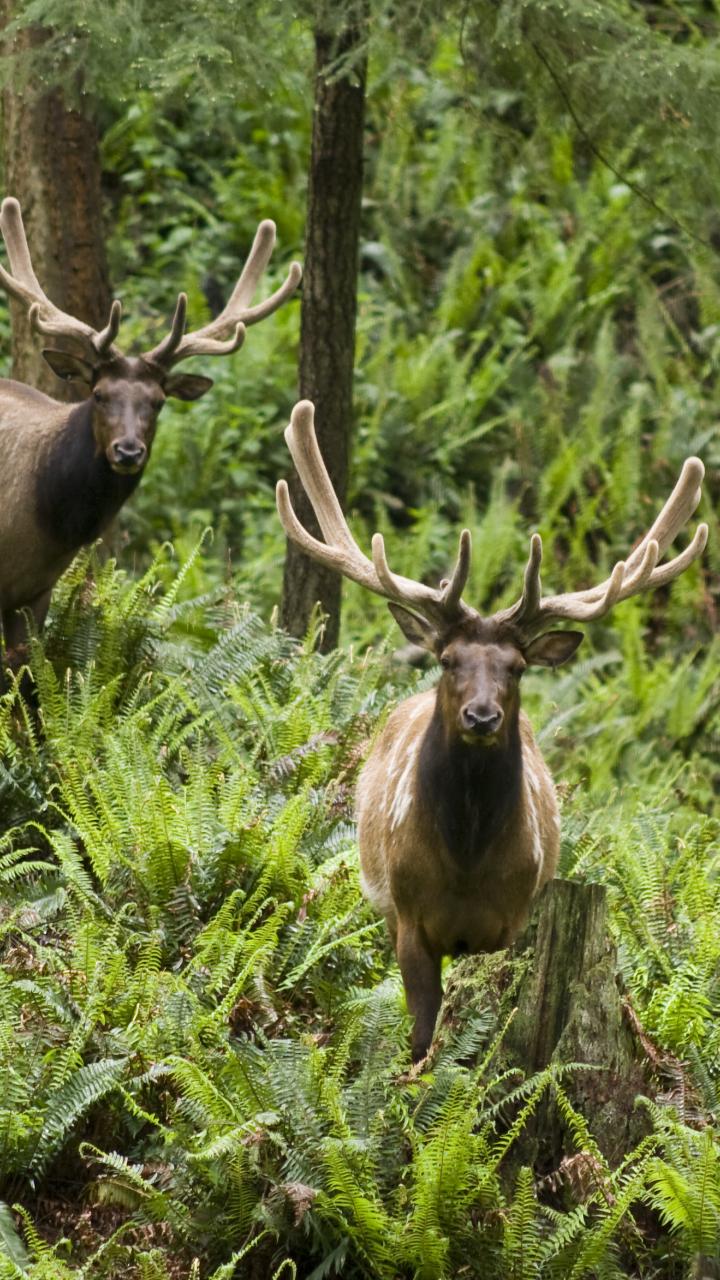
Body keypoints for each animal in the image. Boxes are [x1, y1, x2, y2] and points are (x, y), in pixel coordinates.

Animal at [276, 399, 708, 1061]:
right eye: (448, 658)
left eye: (517, 666)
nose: (483, 716)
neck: (466, 860)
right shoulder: (408, 918)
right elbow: (423, 1036)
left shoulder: (515, 918)